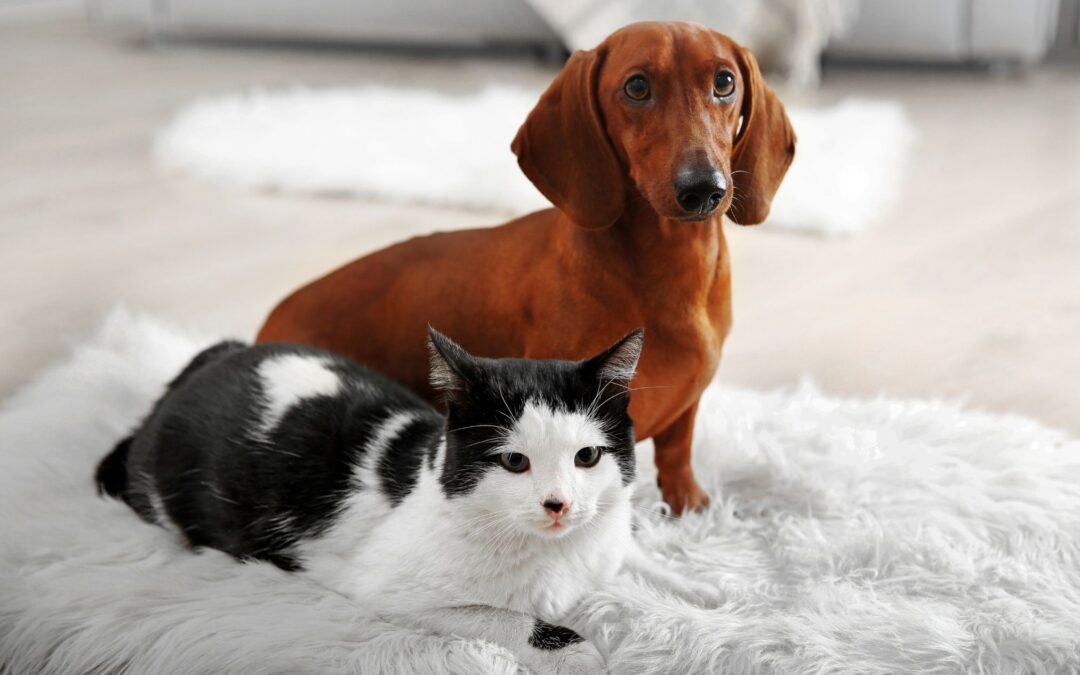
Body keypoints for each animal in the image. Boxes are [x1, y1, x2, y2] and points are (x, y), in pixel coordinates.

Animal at [97, 328, 643, 669]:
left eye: (587, 456)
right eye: (514, 461)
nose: (559, 504)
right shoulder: (390, 590)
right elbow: (511, 621)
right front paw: (579, 654)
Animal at [252, 23, 794, 514]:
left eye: (724, 81)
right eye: (637, 87)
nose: (703, 188)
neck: (670, 270)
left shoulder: (685, 410)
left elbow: (677, 452)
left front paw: (689, 506)